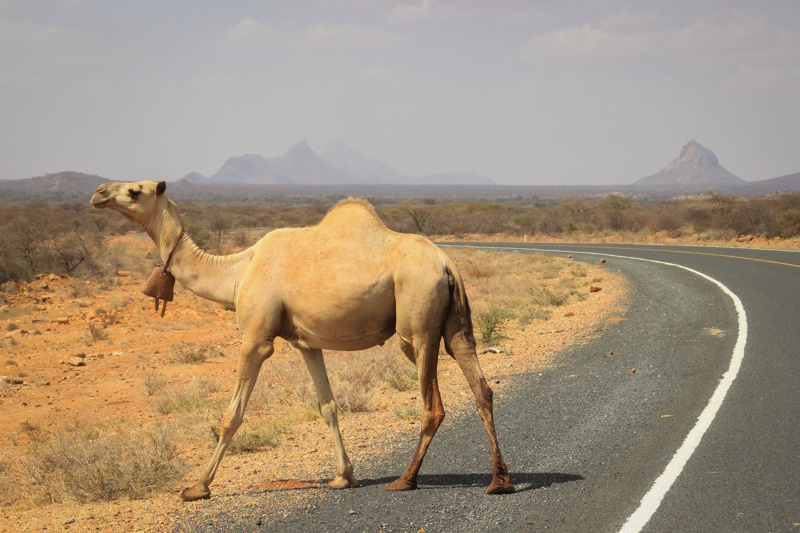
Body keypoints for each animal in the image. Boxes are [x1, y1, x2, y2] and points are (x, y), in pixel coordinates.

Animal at [87, 180, 512, 498]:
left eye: (135, 190)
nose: (99, 192)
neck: (237, 272)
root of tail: (447, 263)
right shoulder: (307, 343)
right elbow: (328, 406)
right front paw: (344, 476)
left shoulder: (256, 337)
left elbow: (232, 414)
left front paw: (197, 487)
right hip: (455, 324)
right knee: (481, 386)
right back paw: (499, 481)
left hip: (418, 322)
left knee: (432, 402)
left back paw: (406, 479)